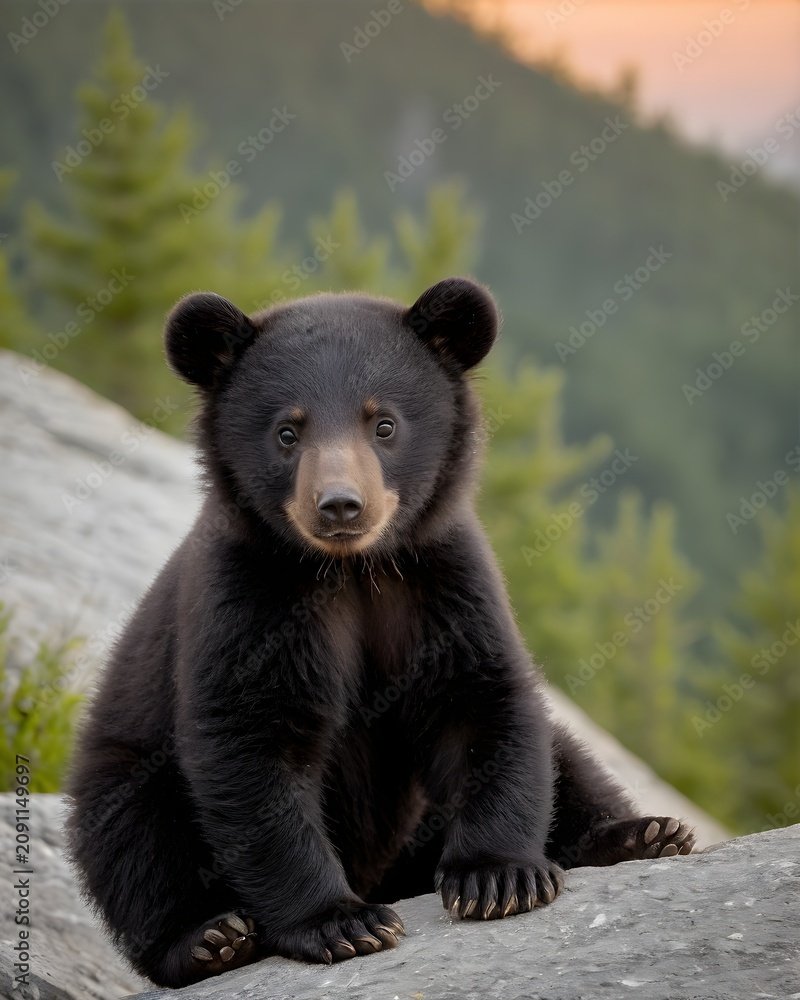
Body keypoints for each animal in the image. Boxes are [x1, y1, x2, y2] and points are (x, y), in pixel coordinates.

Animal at [66, 277, 695, 988]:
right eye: (287, 431)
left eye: (384, 423)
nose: (340, 506)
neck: (352, 571)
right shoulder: (248, 599)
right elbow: (254, 745)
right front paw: (341, 920)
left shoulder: (444, 582)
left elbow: (481, 705)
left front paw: (497, 877)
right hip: (124, 770)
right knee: (136, 842)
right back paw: (209, 939)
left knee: (570, 758)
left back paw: (643, 834)